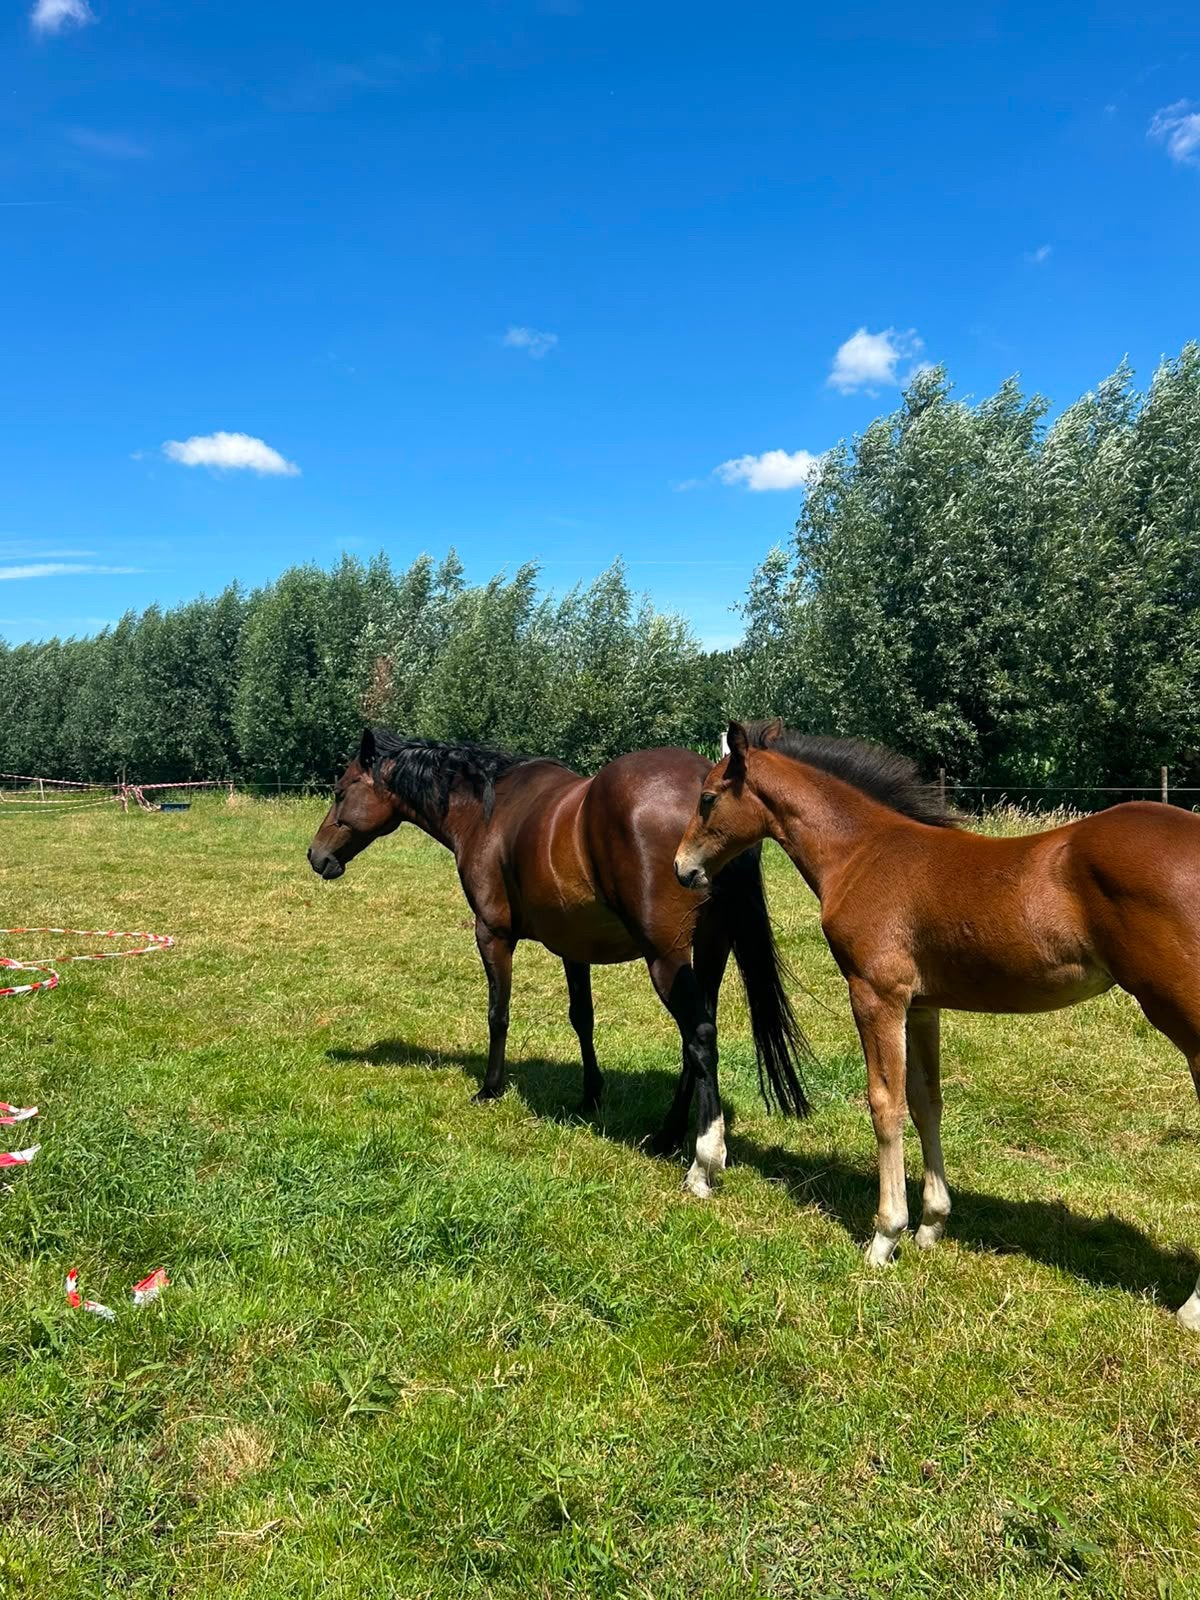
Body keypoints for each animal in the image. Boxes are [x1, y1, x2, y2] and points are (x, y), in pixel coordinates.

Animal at [308, 728, 810, 1195]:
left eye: (340, 791)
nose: (316, 856)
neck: (488, 813)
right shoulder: (575, 947)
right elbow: (582, 1018)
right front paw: (590, 1095)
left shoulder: (492, 935)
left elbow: (498, 1014)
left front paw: (490, 1088)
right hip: (708, 954)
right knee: (695, 1043)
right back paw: (666, 1136)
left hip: (666, 960)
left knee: (700, 1036)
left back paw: (703, 1162)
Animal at [674, 718, 1200, 1330]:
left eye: (708, 797)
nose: (682, 869)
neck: (861, 853)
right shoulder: (922, 1006)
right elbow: (927, 1102)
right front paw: (931, 1225)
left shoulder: (877, 996)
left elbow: (885, 1104)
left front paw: (885, 1237)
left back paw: (1191, 1307)